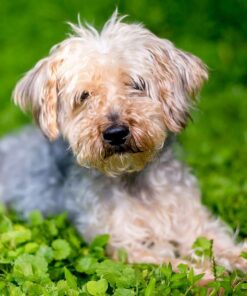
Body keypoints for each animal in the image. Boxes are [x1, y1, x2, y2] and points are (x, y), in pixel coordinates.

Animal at [0, 11, 247, 276]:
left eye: (136, 84)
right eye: (84, 95)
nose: (116, 133)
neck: (134, 179)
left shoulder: (194, 222)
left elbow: (221, 244)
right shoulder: (123, 244)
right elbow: (172, 263)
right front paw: (207, 275)